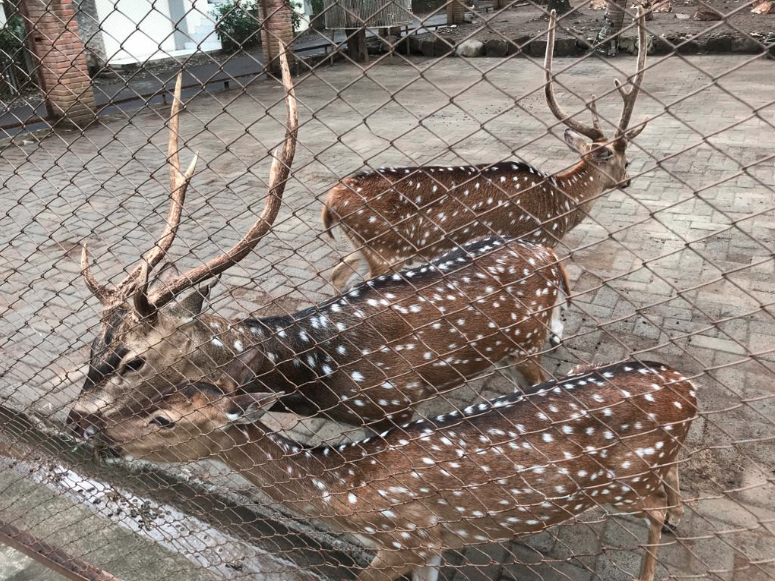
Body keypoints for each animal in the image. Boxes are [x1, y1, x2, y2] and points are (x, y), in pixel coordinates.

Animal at [68, 48, 571, 440]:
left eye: (133, 362)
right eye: (92, 347)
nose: (74, 418)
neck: (314, 373)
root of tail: (547, 255)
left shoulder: (396, 405)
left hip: (526, 345)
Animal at [96, 359, 698, 581]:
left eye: (162, 418)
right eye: (156, 394)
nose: (98, 429)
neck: (342, 490)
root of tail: (688, 384)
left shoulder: (404, 532)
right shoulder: (432, 536)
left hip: (623, 479)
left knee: (656, 506)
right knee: (671, 489)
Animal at [321, 8, 650, 291]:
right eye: (628, 162)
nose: (629, 180)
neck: (560, 204)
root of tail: (330, 201)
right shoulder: (531, 240)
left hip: (365, 246)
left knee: (337, 273)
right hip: (386, 249)